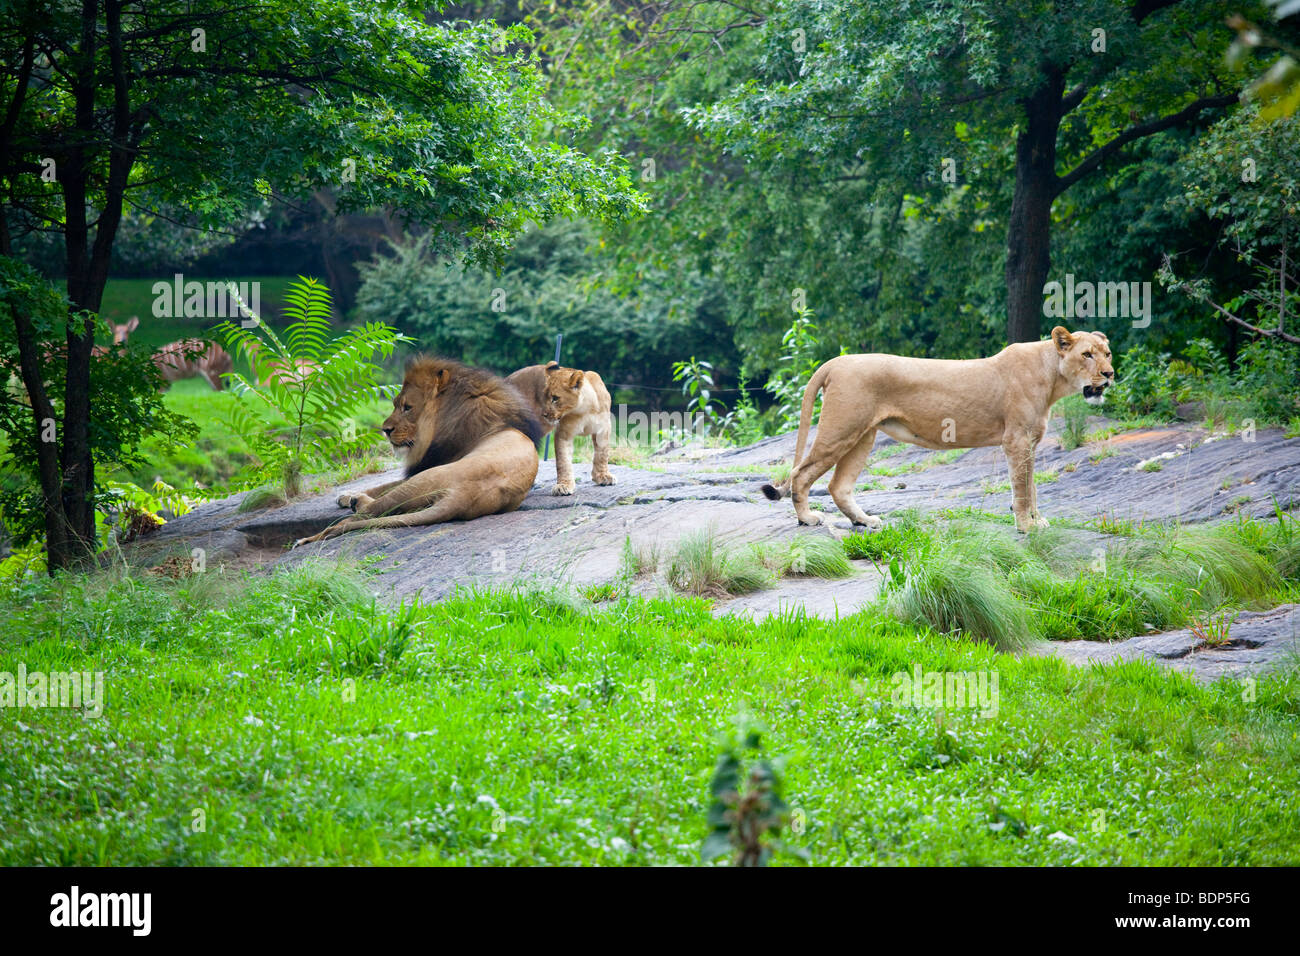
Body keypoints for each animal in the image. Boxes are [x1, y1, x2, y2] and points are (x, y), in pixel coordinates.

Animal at [293, 357, 544, 546]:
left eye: (407, 407)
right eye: (395, 404)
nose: (385, 430)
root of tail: (463, 497)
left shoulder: (426, 466)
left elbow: (382, 485)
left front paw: (348, 496)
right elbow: (379, 484)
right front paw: (345, 494)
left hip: (422, 480)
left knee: (366, 512)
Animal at [505, 360, 616, 495]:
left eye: (555, 398)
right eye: (544, 396)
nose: (543, 414)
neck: (583, 410)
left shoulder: (603, 428)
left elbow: (602, 454)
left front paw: (603, 476)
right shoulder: (563, 433)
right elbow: (563, 461)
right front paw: (563, 485)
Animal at [761, 327, 1115, 533]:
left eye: (1107, 353)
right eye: (1087, 354)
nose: (1110, 374)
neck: (1053, 377)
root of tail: (834, 362)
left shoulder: (1030, 442)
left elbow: (1032, 486)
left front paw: (1037, 520)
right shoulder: (1016, 440)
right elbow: (1022, 488)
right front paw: (1026, 526)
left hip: (863, 434)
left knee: (839, 485)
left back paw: (865, 520)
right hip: (842, 429)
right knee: (801, 474)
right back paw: (808, 519)